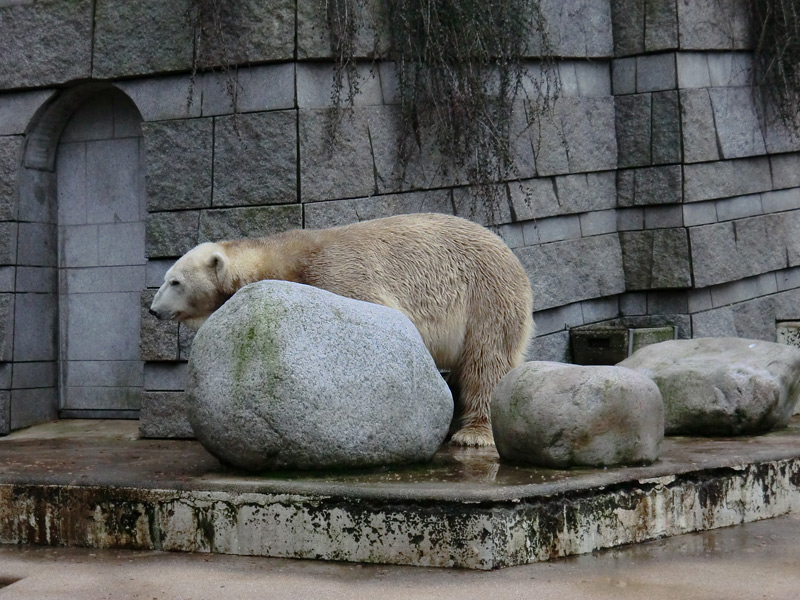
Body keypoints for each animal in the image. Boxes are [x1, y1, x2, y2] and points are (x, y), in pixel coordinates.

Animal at [151, 213, 536, 448]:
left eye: (175, 281)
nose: (153, 310)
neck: (283, 260)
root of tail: (512, 256)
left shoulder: (339, 276)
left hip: (485, 296)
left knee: (487, 360)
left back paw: (474, 433)